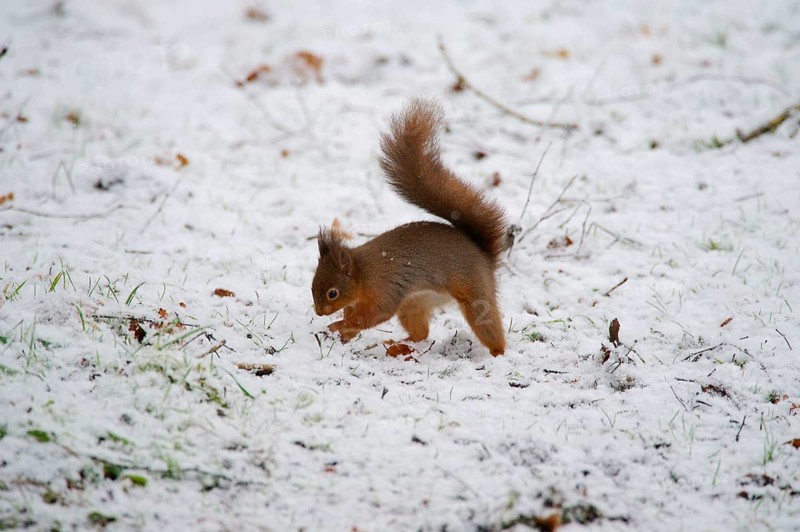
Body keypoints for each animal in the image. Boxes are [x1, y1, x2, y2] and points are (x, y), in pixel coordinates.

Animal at [312, 98, 509, 356]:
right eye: (313, 284)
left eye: (332, 293)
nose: (318, 312)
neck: (362, 274)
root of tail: (486, 257)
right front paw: (344, 332)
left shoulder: (383, 288)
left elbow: (375, 314)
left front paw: (339, 325)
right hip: (413, 304)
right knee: (421, 333)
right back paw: (398, 344)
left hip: (475, 294)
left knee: (488, 325)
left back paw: (498, 354)